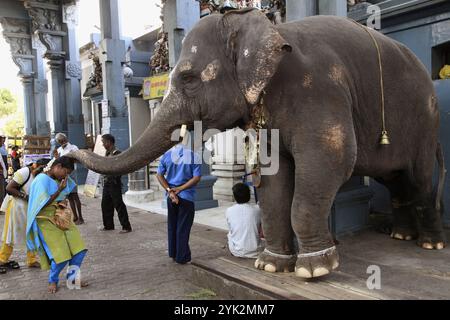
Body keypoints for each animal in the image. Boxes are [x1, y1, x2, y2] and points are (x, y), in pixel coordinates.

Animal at [70, 7, 446, 278]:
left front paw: (314, 270)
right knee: (396, 181)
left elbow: (331, 162)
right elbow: (274, 177)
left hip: (425, 120)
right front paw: (270, 265)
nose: (70, 150)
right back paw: (401, 236)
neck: (270, 29)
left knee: (419, 179)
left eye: (189, 78)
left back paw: (430, 245)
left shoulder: (319, 91)